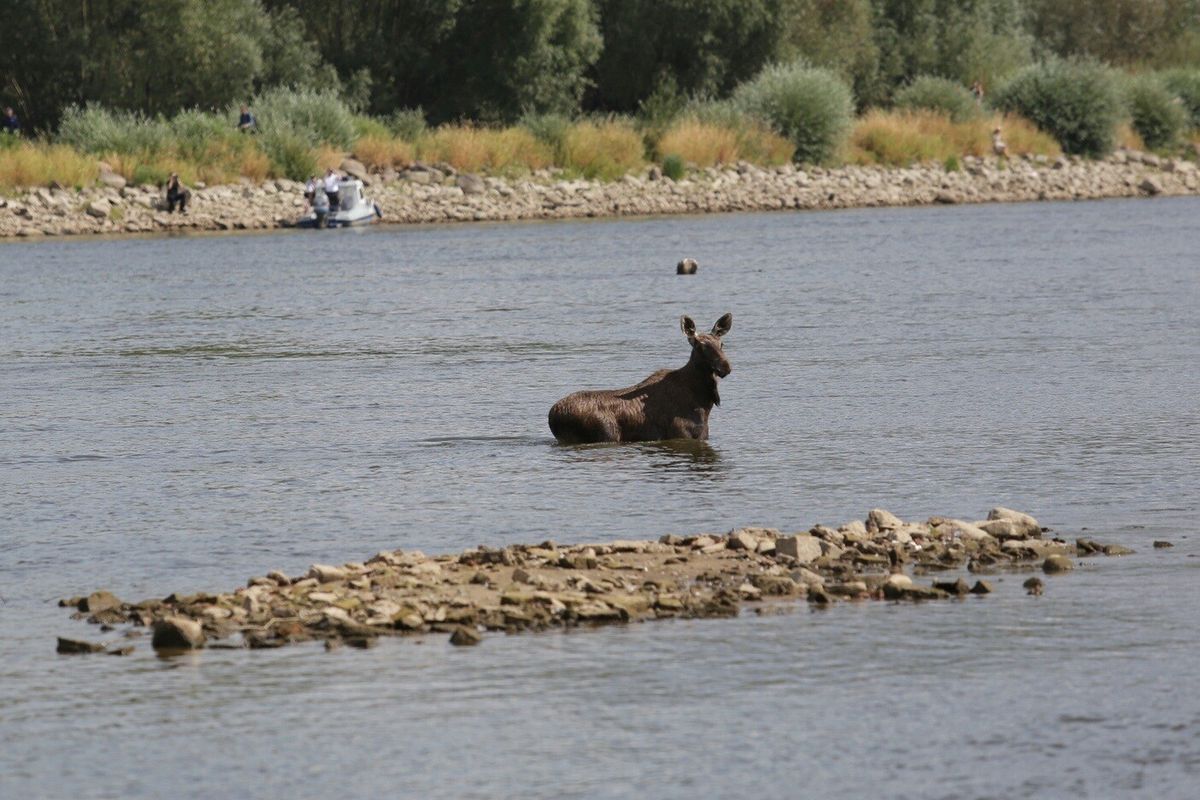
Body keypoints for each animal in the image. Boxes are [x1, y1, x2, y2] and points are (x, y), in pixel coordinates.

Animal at [549, 311, 729, 448]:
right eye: (700, 346)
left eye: (722, 344)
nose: (725, 367)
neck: (704, 403)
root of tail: (553, 416)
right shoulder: (681, 434)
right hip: (606, 435)